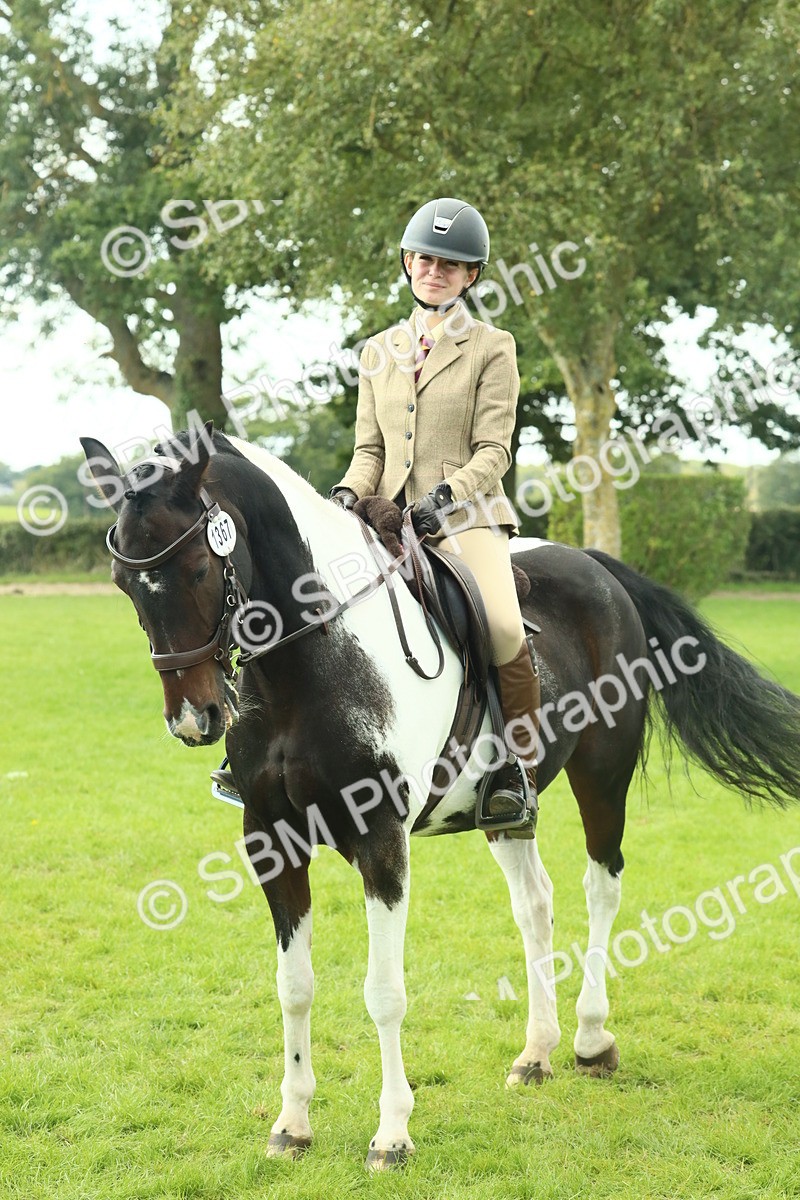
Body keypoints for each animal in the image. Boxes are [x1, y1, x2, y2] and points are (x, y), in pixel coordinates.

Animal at [80, 425, 800, 1170]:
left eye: (198, 568)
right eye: (125, 584)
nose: (195, 719)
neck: (307, 665)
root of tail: (596, 565)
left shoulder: (381, 839)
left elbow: (384, 993)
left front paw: (392, 1134)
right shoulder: (270, 840)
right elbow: (293, 987)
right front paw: (292, 1124)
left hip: (603, 771)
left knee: (602, 885)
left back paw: (590, 1038)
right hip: (505, 811)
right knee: (535, 902)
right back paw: (535, 1054)